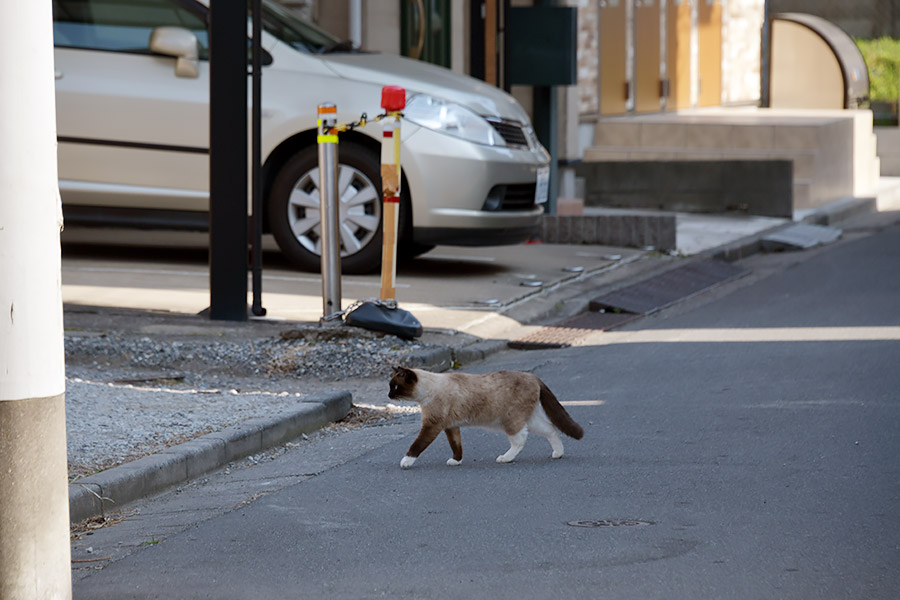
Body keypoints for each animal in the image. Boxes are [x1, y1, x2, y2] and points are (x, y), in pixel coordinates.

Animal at [386, 366, 584, 468]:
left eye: (394, 387)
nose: (388, 395)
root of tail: (533, 376)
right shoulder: (451, 426)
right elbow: (456, 445)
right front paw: (456, 461)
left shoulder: (432, 425)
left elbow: (417, 445)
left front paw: (406, 461)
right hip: (531, 419)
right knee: (551, 429)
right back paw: (557, 453)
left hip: (511, 419)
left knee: (520, 439)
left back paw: (505, 458)